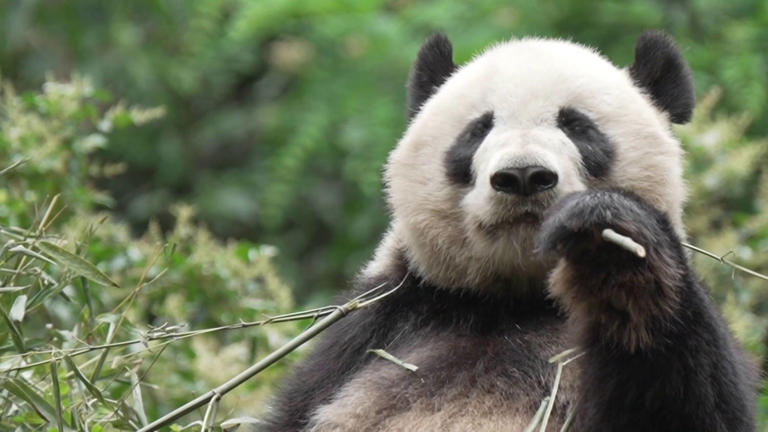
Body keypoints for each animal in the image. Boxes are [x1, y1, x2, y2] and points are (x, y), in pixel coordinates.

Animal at [261, 31, 757, 431]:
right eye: (478, 130)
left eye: (577, 126)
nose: (523, 176)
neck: (514, 300)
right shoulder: (378, 327)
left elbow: (689, 405)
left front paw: (608, 248)